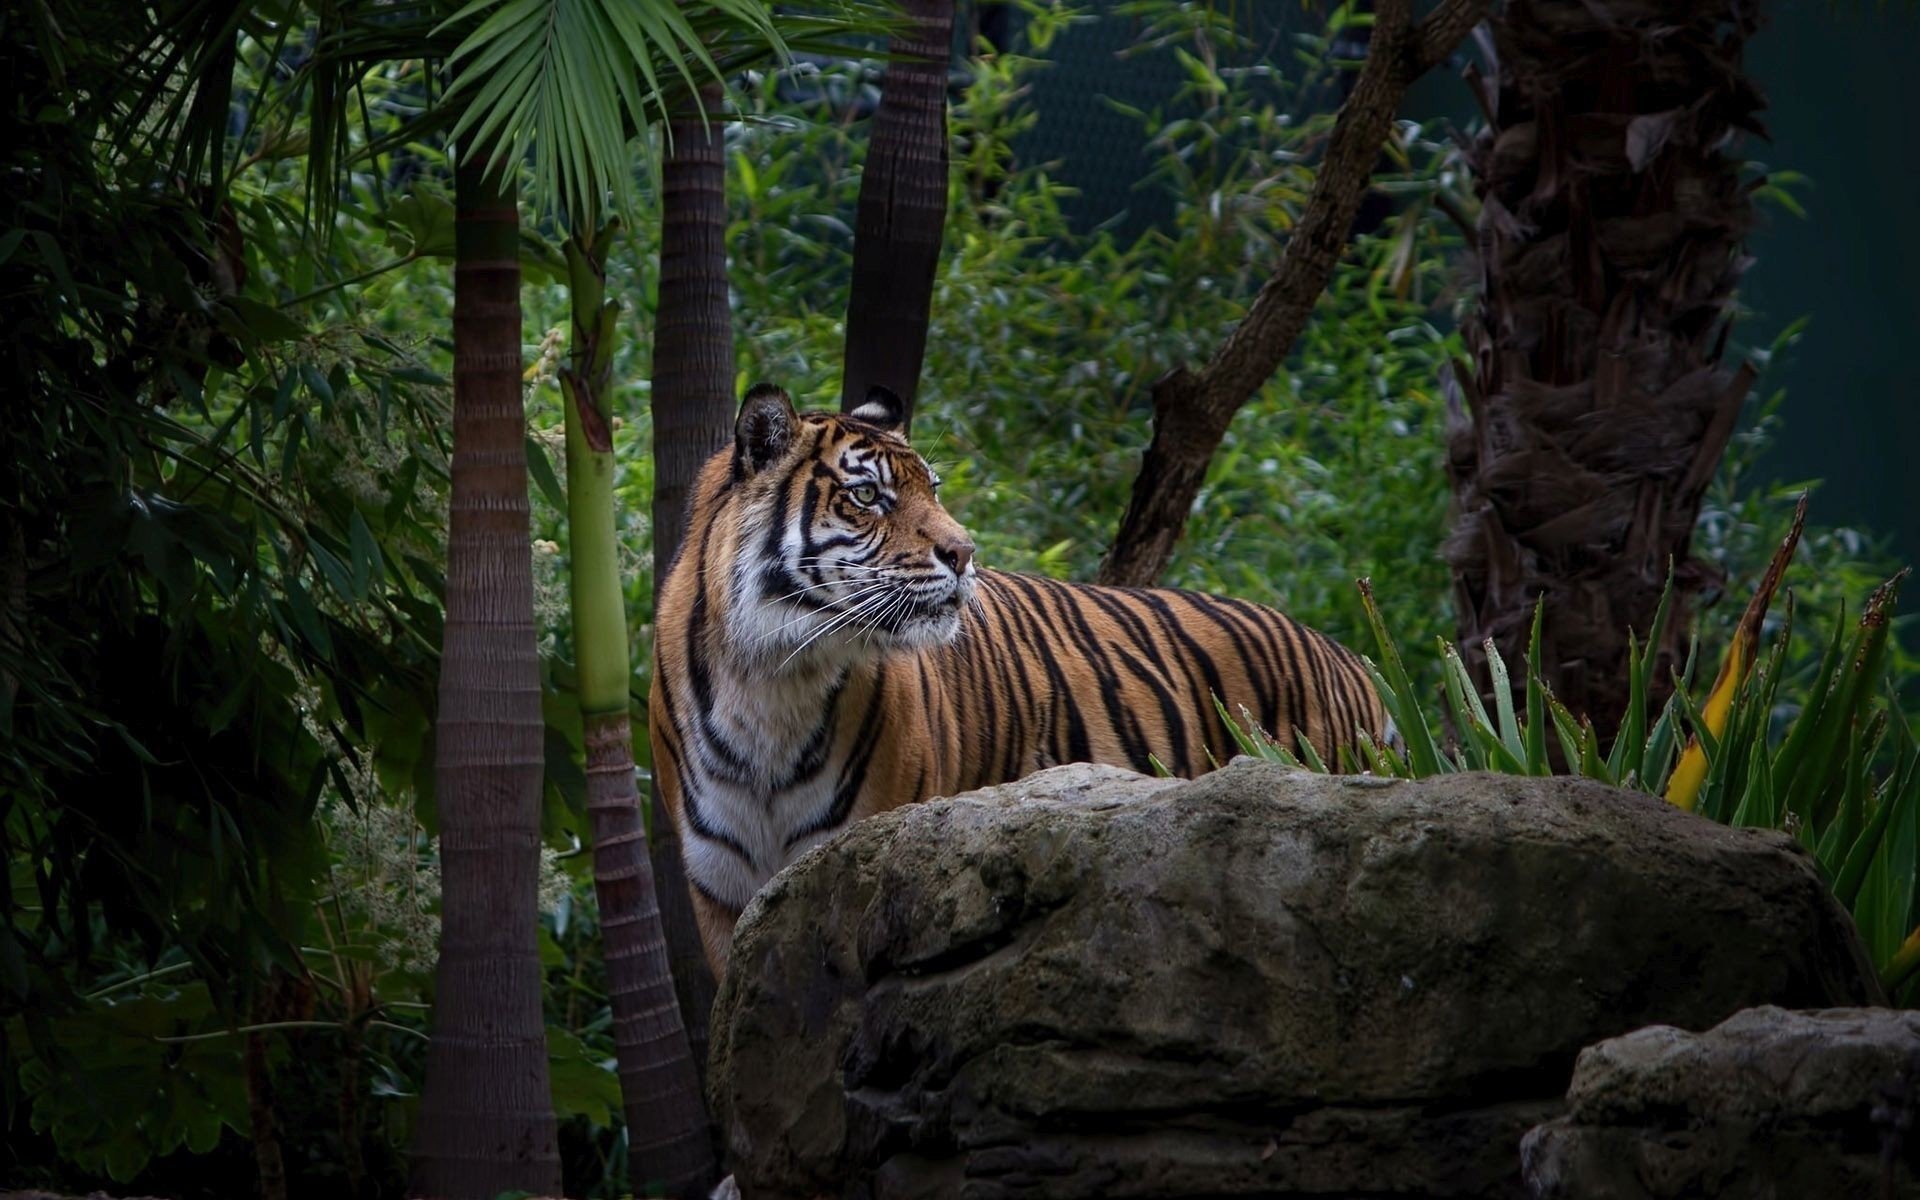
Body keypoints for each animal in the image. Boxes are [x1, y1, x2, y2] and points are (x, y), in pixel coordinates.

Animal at [648, 383, 1389, 981]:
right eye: (867, 496)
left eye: (933, 488)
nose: (964, 552)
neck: (772, 679)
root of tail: (1354, 659)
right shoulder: (723, 896)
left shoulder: (856, 859)